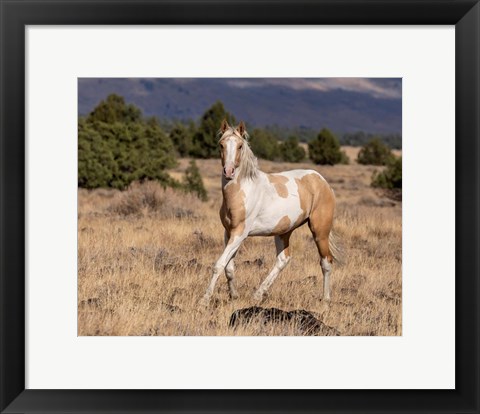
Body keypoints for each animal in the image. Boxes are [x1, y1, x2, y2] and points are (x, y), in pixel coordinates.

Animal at [201, 119, 340, 304]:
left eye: (240, 146)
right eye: (221, 144)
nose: (228, 172)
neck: (242, 191)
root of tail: (322, 182)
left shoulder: (240, 233)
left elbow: (219, 264)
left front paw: (204, 299)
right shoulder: (229, 232)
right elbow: (228, 267)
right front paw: (234, 296)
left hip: (320, 231)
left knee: (326, 262)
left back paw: (325, 300)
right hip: (284, 232)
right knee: (283, 260)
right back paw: (258, 294)